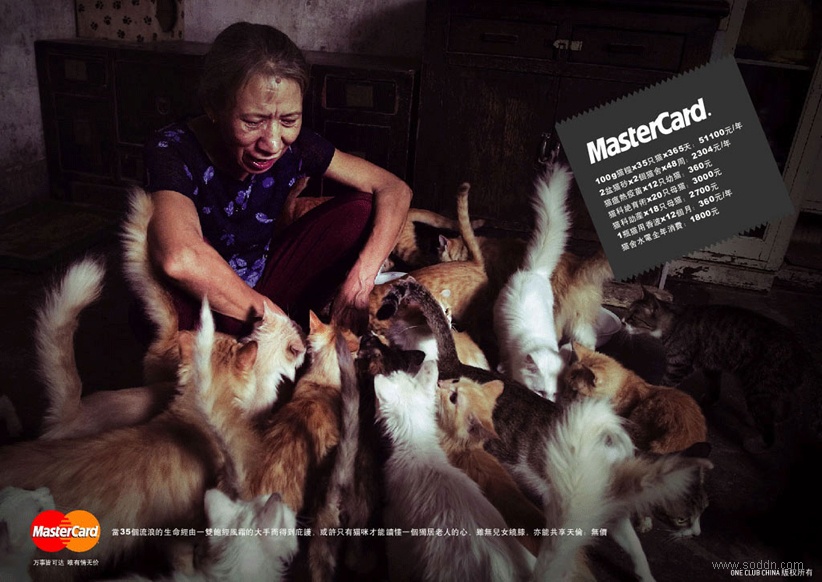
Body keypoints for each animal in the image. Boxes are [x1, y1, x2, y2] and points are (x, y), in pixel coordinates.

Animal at [622, 287, 822, 450]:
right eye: (627, 312)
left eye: (633, 317)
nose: (623, 321)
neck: (674, 321)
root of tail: (803, 353)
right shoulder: (711, 365)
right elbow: (713, 385)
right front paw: (709, 400)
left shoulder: (678, 366)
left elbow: (664, 385)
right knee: (785, 405)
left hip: (758, 388)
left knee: (769, 429)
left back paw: (756, 443)